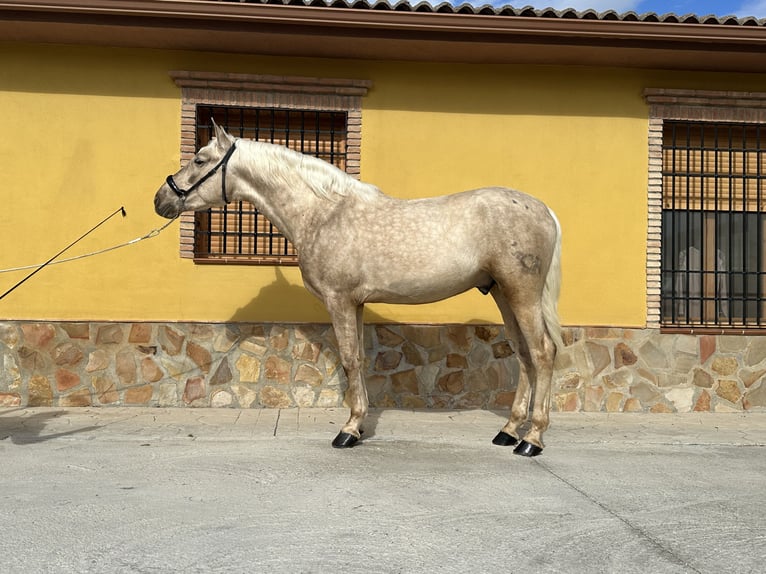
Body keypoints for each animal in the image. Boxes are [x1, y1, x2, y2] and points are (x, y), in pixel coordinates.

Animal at [156, 122, 564, 460]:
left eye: (200, 159)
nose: (161, 199)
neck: (323, 214)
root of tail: (544, 210)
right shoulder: (357, 303)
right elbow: (360, 360)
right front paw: (360, 423)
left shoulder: (339, 300)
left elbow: (350, 359)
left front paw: (348, 431)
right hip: (503, 294)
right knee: (524, 356)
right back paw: (508, 432)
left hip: (522, 294)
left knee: (542, 353)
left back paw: (532, 440)